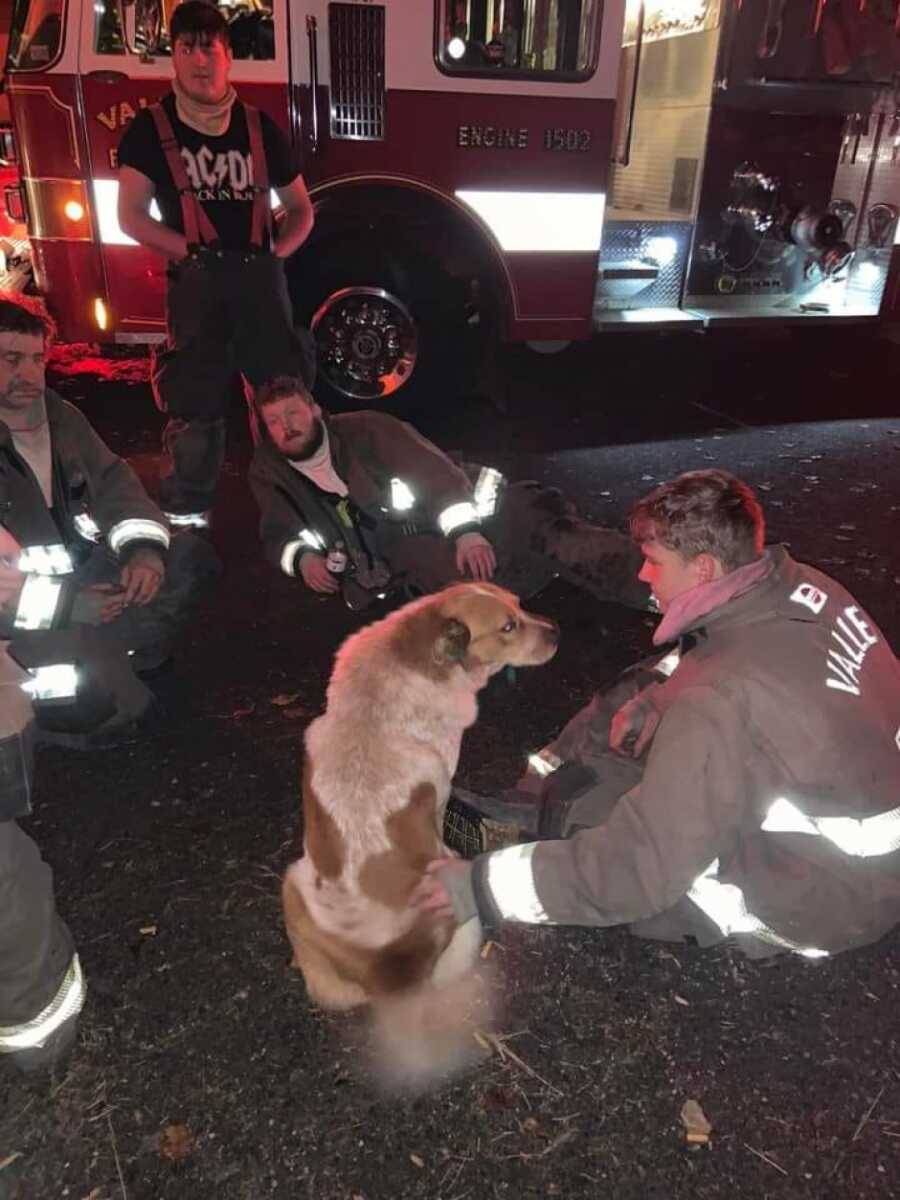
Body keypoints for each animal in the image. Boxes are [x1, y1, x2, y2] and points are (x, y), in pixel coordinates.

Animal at [285, 580, 561, 1089]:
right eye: (508, 626)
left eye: (518, 603)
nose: (557, 631)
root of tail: (388, 974)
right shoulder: (440, 788)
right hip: (465, 918)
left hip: (293, 881)